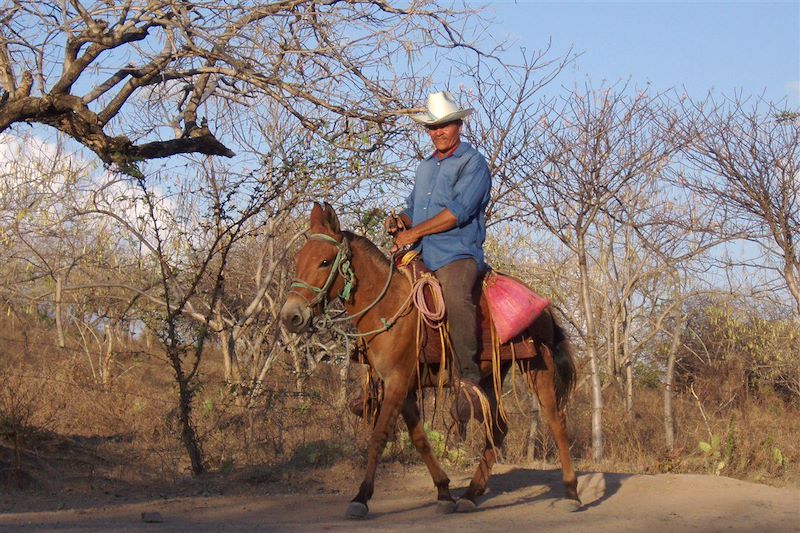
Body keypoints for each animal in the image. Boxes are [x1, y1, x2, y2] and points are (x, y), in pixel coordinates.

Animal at [278, 203, 580, 516]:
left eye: (325, 262)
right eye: (299, 260)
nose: (291, 316)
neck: (389, 307)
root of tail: (544, 308)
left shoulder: (397, 381)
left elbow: (379, 437)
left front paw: (361, 497)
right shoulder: (405, 388)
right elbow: (420, 440)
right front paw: (444, 492)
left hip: (538, 367)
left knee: (556, 422)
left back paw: (571, 491)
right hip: (488, 378)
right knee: (498, 429)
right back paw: (471, 493)